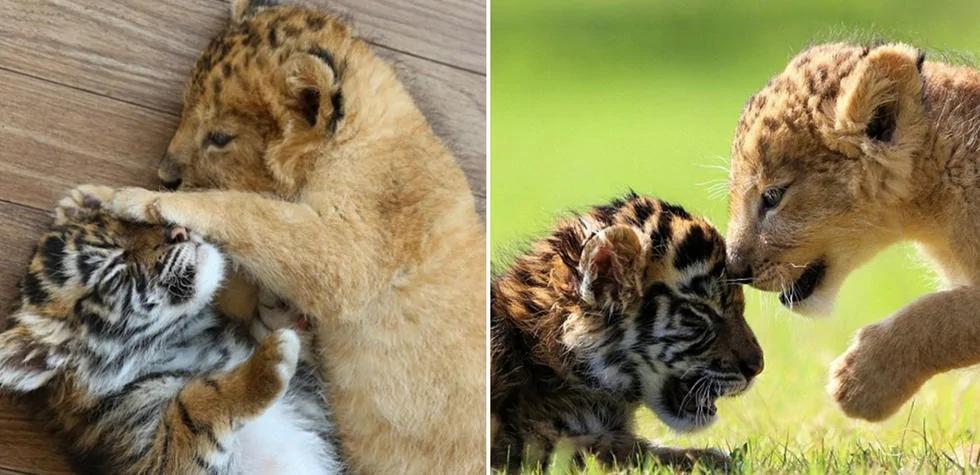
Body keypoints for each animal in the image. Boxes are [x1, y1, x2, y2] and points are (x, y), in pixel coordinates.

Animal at [0, 193, 344, 474]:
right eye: (116, 268)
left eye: (128, 223)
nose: (177, 231)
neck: (192, 339)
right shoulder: (155, 457)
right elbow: (190, 405)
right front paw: (270, 360)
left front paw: (279, 310)